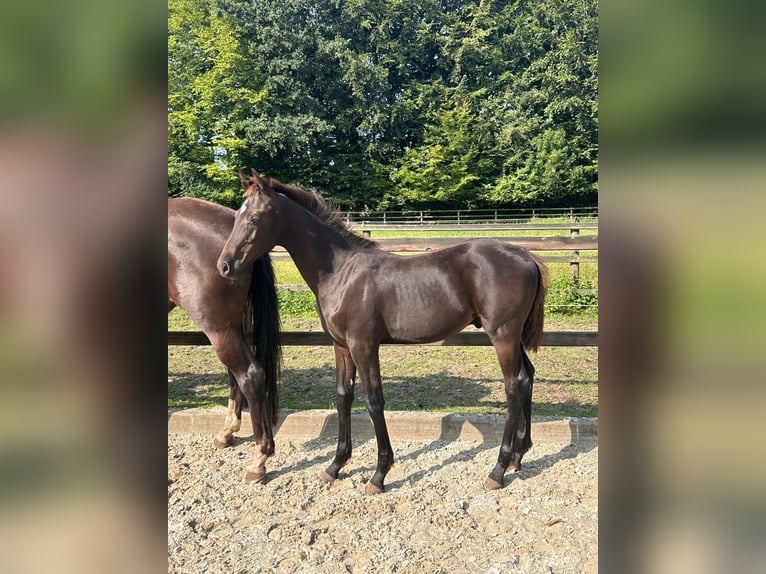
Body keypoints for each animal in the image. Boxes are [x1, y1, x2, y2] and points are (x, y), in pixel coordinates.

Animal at [170, 198, 284, 482]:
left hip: (218, 327)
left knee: (249, 373)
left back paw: (260, 458)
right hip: (230, 325)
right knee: (236, 373)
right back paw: (228, 432)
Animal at [219, 171, 548, 496]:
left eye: (255, 218)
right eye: (237, 215)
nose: (225, 266)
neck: (342, 272)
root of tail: (526, 256)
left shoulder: (363, 345)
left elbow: (374, 400)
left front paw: (379, 474)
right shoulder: (341, 345)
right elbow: (343, 396)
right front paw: (335, 465)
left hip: (502, 335)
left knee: (514, 384)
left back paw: (498, 469)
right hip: (513, 336)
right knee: (528, 376)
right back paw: (519, 456)